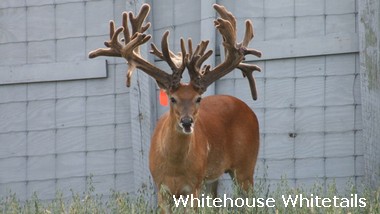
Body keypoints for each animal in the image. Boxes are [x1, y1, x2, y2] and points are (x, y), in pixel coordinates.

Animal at [88, 3, 262, 212]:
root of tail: (247, 109)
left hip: (245, 165)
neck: (175, 168)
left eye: (198, 98)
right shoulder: (161, 189)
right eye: (172, 98)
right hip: (214, 177)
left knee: (250, 201)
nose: (187, 122)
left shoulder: (194, 186)